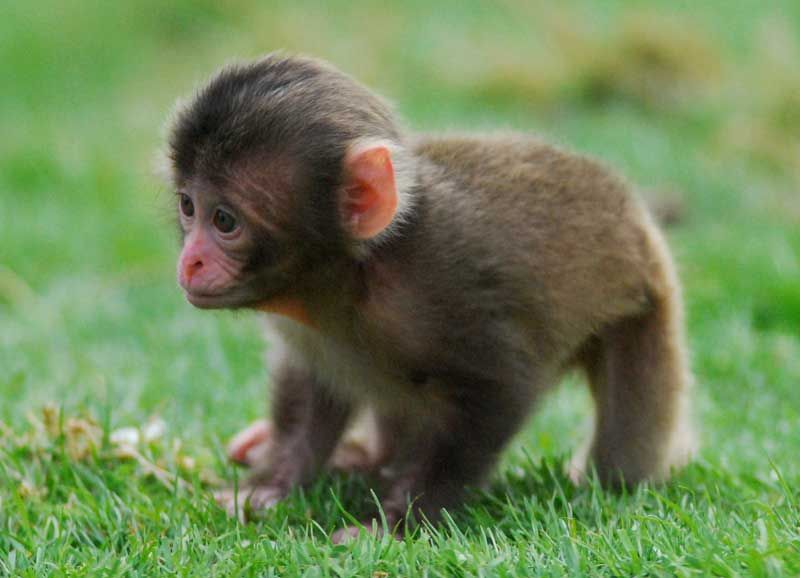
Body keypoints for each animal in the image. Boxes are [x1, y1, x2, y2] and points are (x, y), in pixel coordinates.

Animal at [169, 53, 692, 536]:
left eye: (225, 220)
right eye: (188, 207)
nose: (190, 261)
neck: (352, 275)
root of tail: (639, 220)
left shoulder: (446, 285)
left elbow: (498, 392)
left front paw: (398, 521)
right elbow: (312, 385)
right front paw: (269, 485)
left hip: (647, 305)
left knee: (623, 449)